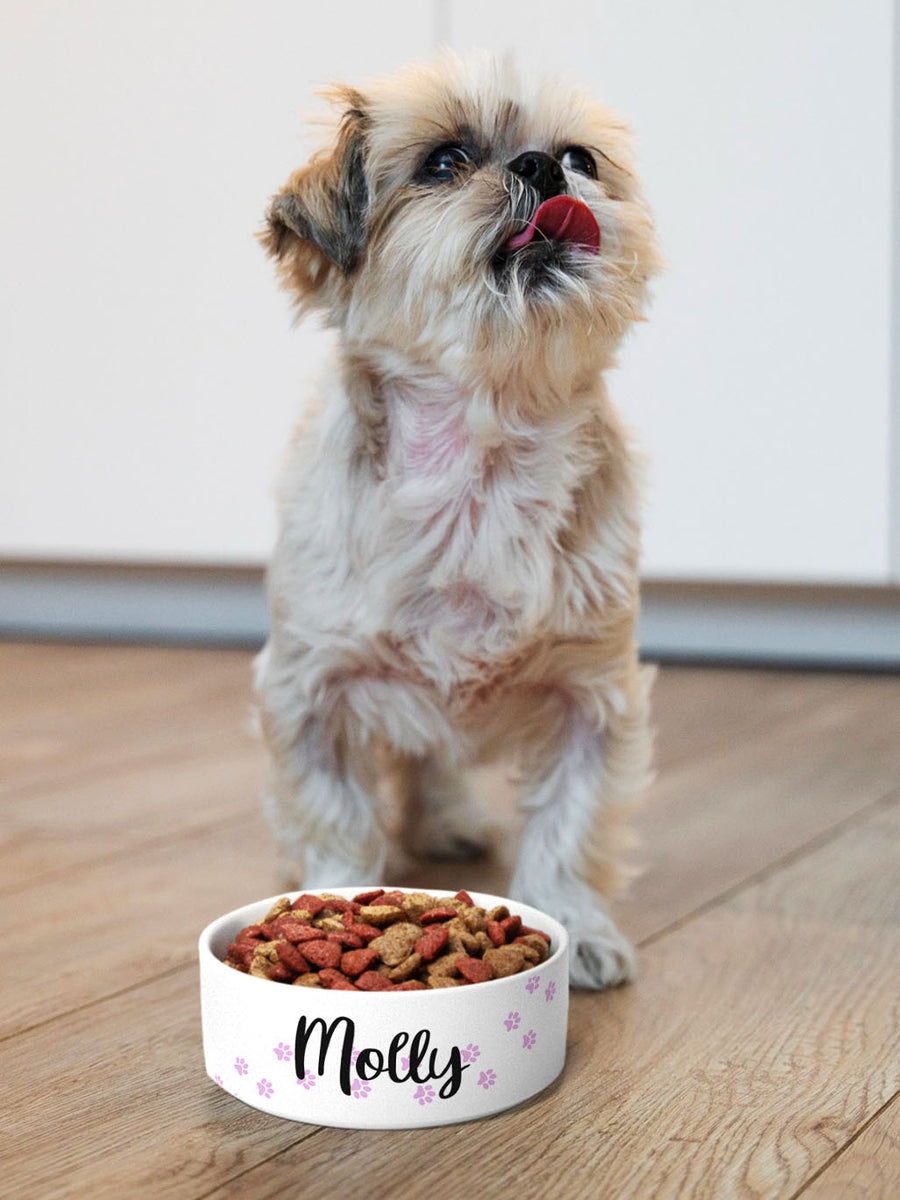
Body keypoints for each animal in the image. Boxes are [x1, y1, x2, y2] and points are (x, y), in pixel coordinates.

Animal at [254, 51, 662, 988]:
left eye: (581, 157)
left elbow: (569, 830)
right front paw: (329, 900)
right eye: (444, 162)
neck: (480, 470)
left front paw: (577, 930)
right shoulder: (312, 690)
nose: (543, 168)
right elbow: (337, 816)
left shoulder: (592, 697)